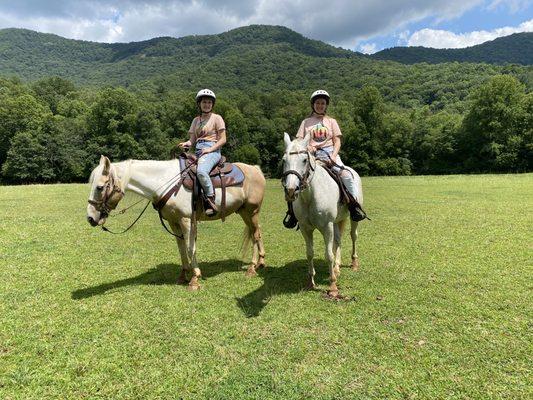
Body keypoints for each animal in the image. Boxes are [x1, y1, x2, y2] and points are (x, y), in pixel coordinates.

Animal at [86, 155, 266, 290]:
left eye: (100, 187)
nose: (90, 218)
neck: (165, 182)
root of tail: (255, 169)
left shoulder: (186, 220)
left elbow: (190, 247)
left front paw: (195, 279)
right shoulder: (174, 222)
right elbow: (181, 248)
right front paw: (183, 276)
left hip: (252, 211)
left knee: (256, 235)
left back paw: (252, 268)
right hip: (244, 212)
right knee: (256, 233)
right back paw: (261, 263)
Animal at [282, 134, 362, 296]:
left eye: (304, 160)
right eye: (284, 160)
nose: (291, 190)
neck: (310, 196)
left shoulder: (327, 226)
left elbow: (328, 254)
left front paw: (332, 286)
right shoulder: (306, 228)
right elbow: (309, 253)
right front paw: (310, 282)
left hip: (351, 219)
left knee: (353, 236)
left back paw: (354, 263)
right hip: (338, 220)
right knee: (338, 240)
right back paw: (337, 268)